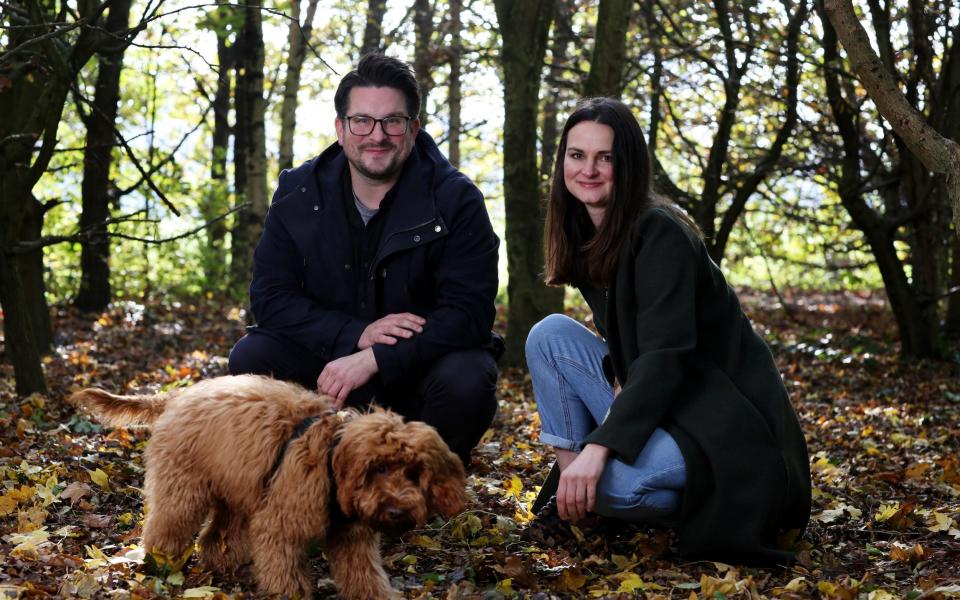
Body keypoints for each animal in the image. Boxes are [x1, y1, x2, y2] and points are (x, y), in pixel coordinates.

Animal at [67, 376, 464, 600]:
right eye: (378, 468)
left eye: (413, 473)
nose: (397, 511)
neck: (331, 454)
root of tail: (179, 396)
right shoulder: (281, 523)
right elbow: (284, 568)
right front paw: (289, 593)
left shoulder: (352, 538)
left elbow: (364, 574)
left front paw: (379, 595)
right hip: (185, 487)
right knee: (168, 525)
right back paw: (162, 564)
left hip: (236, 489)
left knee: (215, 535)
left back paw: (225, 565)